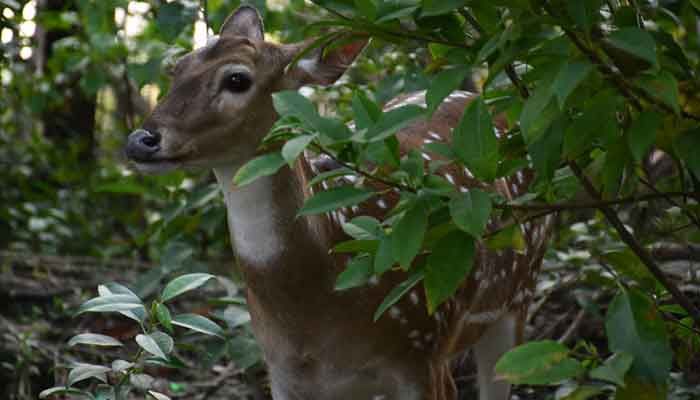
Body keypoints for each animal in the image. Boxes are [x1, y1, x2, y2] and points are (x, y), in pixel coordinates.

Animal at [126, 6, 552, 400]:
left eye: (237, 79)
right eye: (176, 69)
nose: (140, 140)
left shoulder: (421, 352)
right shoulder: (283, 374)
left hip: (518, 290)